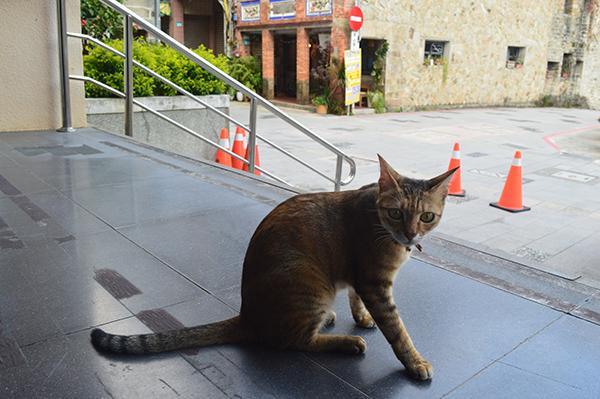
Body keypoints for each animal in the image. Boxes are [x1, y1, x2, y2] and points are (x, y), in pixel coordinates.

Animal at [91, 155, 458, 382]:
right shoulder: (375, 283)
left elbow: (355, 298)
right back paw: (346, 343)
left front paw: (362, 317)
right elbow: (397, 330)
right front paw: (415, 361)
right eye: (396, 213)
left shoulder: (361, 279)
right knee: (296, 342)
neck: (379, 223)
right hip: (311, 285)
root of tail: (246, 316)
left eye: (427, 216)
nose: (410, 234)